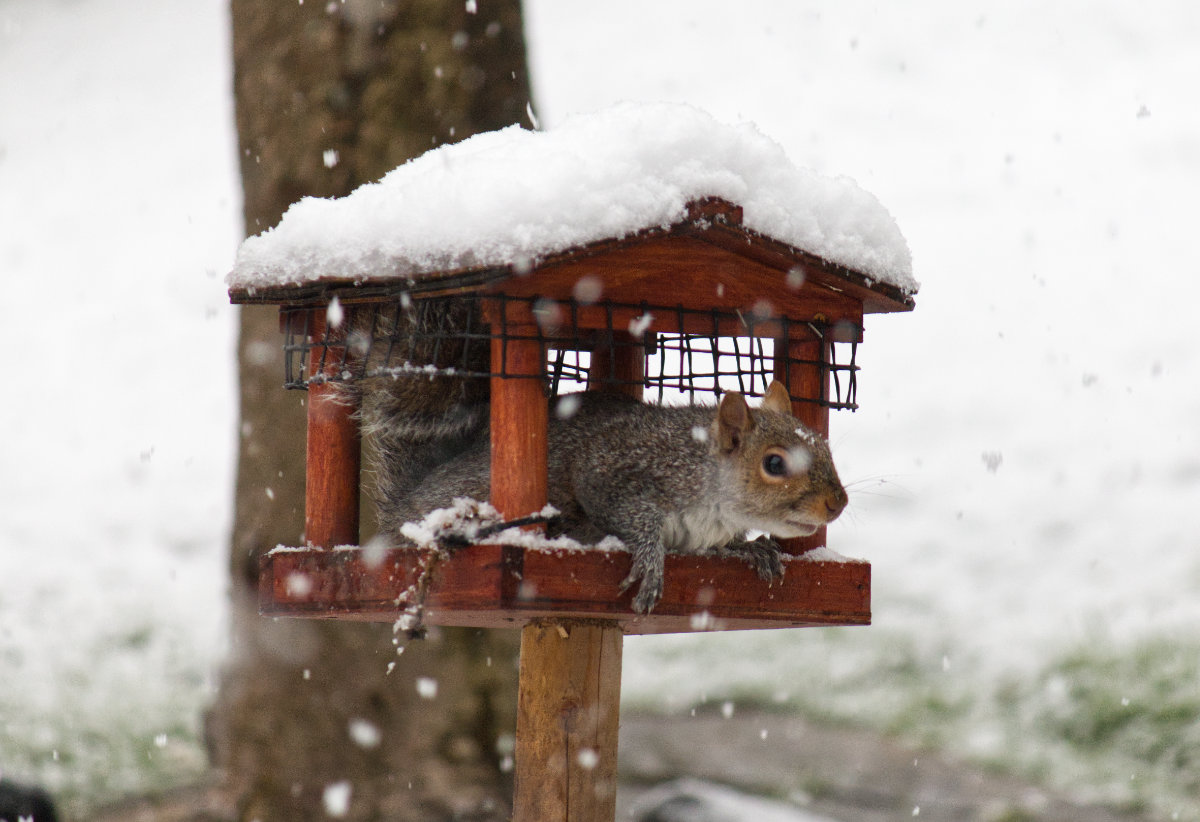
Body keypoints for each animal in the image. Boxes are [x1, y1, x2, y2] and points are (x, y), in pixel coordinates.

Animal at [369, 379, 849, 609]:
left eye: (827, 447)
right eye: (774, 464)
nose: (838, 503)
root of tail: (403, 506)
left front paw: (751, 548)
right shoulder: (611, 469)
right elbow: (627, 512)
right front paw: (651, 559)